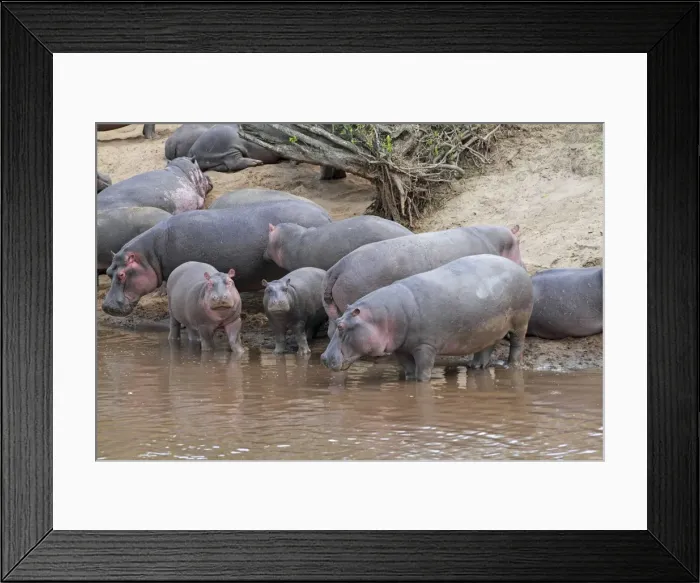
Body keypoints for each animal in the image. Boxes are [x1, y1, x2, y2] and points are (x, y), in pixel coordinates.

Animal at [321, 255, 534, 382]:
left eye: (341, 326)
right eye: (337, 322)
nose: (323, 358)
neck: (382, 316)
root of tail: (517, 266)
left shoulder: (425, 347)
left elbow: (423, 373)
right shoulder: (401, 348)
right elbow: (409, 371)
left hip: (520, 321)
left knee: (517, 344)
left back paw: (511, 366)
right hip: (489, 327)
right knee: (486, 346)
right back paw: (475, 366)